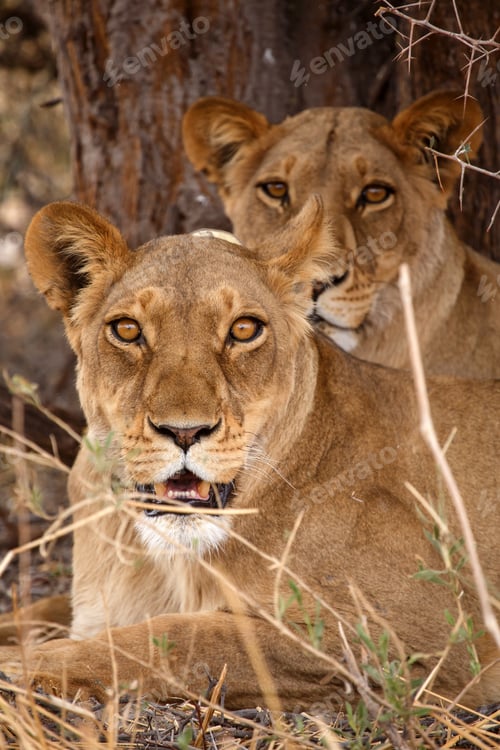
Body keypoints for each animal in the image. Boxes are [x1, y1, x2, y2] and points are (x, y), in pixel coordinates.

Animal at [0, 197, 498, 711]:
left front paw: (29, 663)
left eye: (243, 329)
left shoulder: (436, 636)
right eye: (127, 329)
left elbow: (191, 637)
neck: (170, 561)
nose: (185, 431)